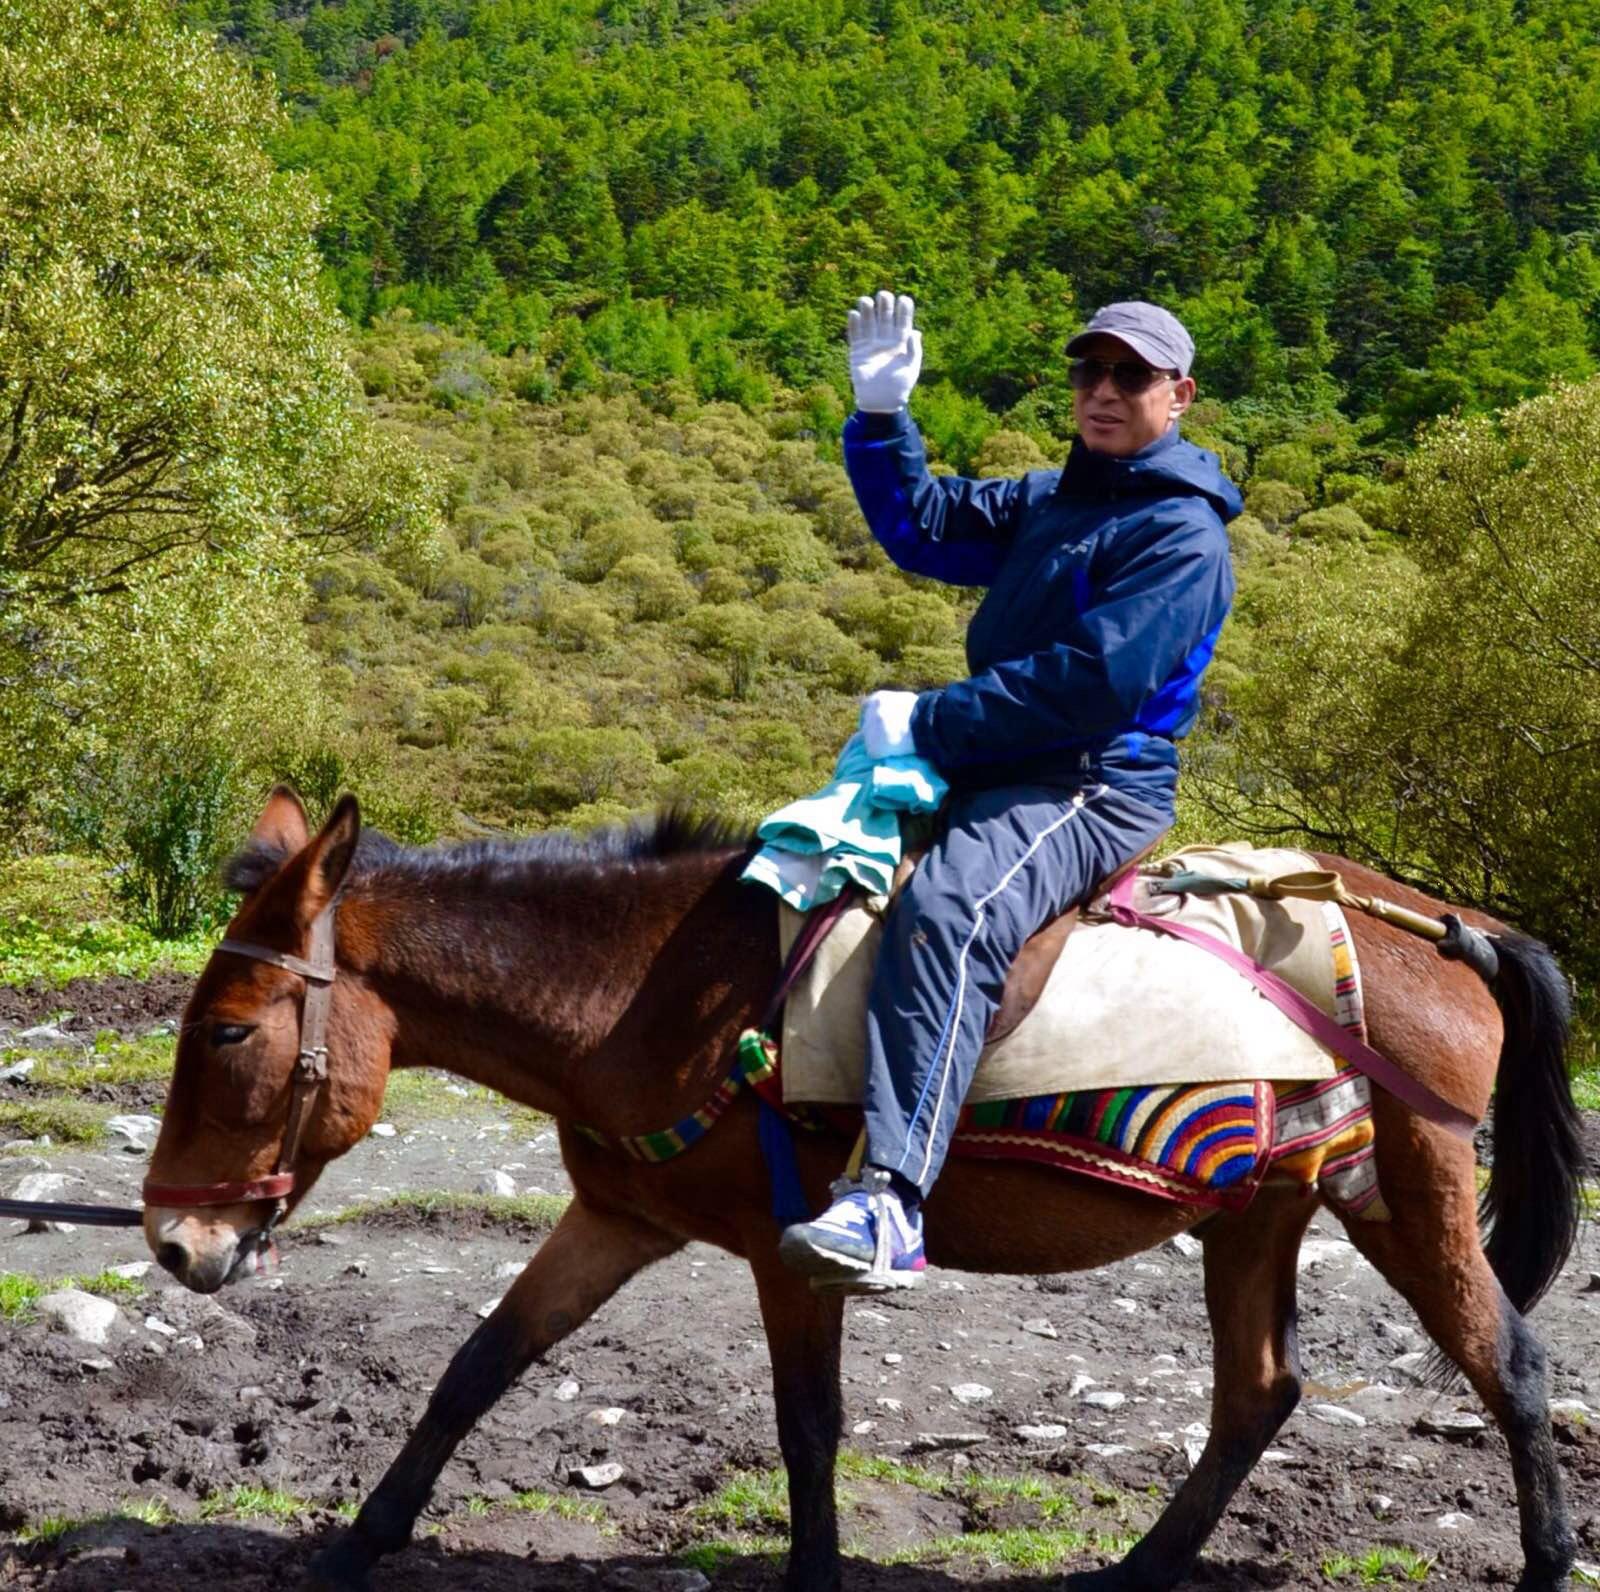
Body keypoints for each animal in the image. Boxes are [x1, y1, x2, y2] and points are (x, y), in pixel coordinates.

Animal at [140, 790, 1587, 1587]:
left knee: (1507, 1363)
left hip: (1403, 1191)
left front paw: (818, 1569)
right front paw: (351, 1546)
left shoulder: (790, 1251)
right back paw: (1132, 1574)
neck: (654, 992)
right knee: (1260, 1393)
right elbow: (477, 1365)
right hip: (1263, 1211)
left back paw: (1542, 1563)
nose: (171, 1241)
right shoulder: (618, 1220)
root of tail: (1450, 929)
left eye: (226, 1031)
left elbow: (808, 1426)